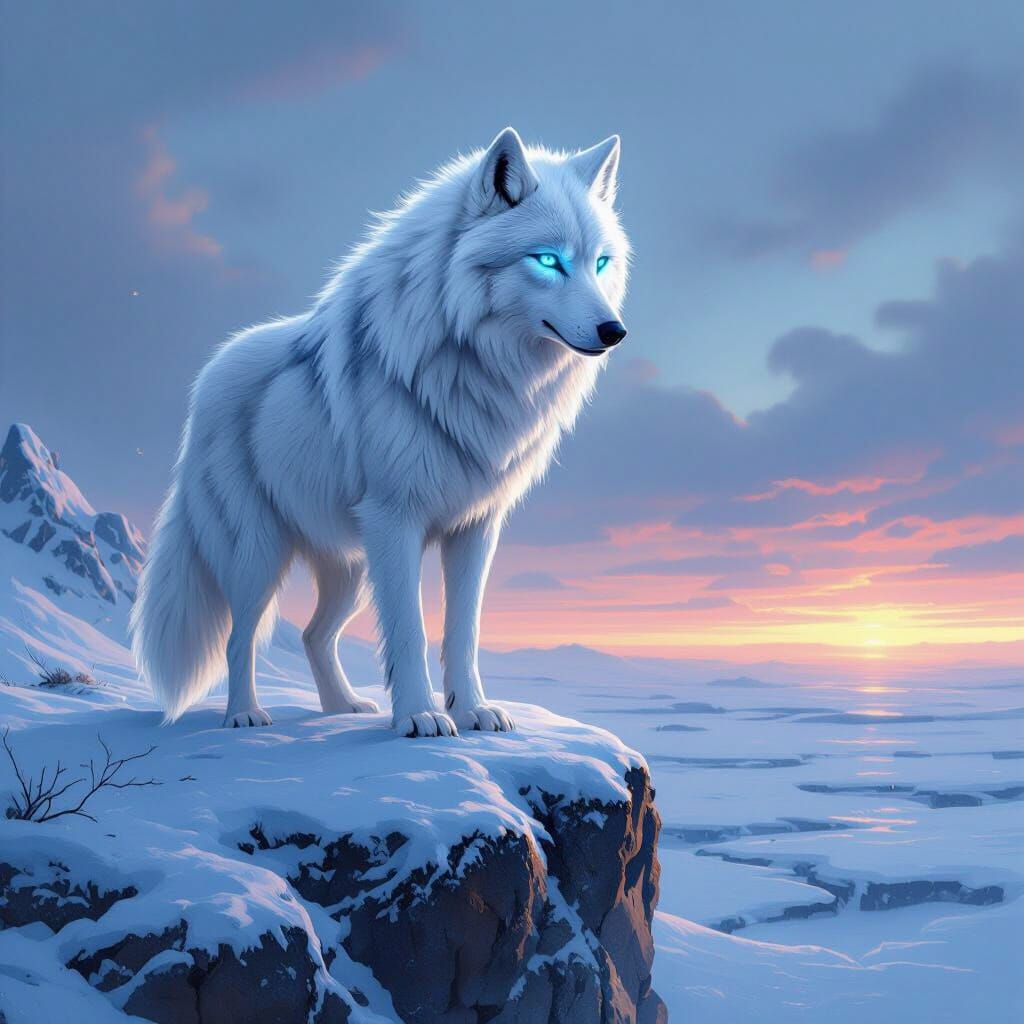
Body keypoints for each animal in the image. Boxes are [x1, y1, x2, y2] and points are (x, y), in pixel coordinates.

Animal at [131, 128, 630, 736]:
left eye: (599, 263)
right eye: (548, 261)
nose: (614, 331)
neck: (476, 366)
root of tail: (205, 382)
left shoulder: (476, 527)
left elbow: (463, 632)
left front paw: (472, 709)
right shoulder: (396, 520)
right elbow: (410, 631)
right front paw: (418, 716)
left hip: (347, 567)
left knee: (312, 634)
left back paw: (340, 707)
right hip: (257, 557)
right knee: (238, 638)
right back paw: (245, 714)